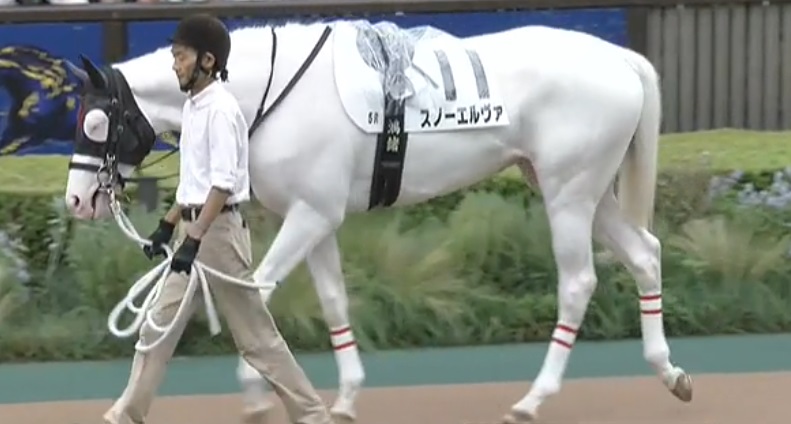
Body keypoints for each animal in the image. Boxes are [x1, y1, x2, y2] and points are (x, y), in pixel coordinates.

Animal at [62, 18, 693, 424]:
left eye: (94, 122)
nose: (76, 201)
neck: (268, 90)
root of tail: (620, 59)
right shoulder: (316, 216)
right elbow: (332, 301)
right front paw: (343, 399)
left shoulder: (309, 215)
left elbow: (257, 290)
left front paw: (259, 395)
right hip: (579, 189)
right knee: (645, 254)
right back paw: (669, 372)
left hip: (568, 193)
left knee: (579, 282)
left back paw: (534, 399)